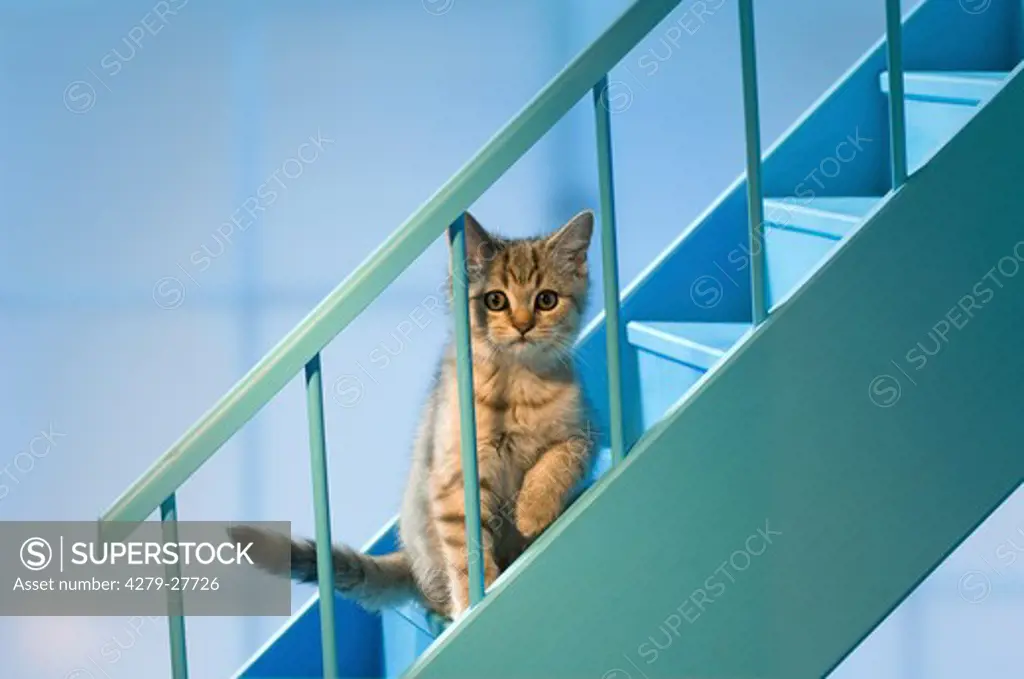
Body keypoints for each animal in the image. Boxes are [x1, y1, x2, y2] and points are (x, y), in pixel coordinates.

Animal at [232, 209, 598, 618]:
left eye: (546, 299)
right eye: (496, 301)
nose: (522, 325)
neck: (517, 385)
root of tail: (410, 560)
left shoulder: (584, 431)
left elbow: (559, 461)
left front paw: (533, 511)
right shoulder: (453, 479)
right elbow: (467, 552)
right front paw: (475, 599)